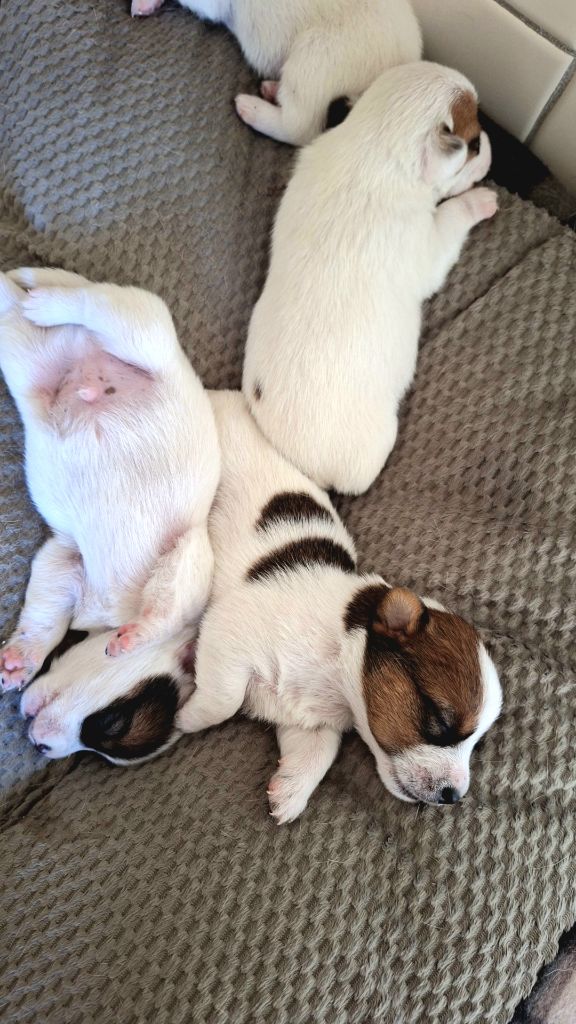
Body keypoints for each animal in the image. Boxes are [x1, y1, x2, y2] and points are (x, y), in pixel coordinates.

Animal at [0, 268, 219, 692]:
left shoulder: (180, 554)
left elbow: (163, 611)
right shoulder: (64, 561)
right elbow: (43, 618)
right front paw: (21, 660)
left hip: (135, 335)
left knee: (94, 301)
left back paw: (37, 297)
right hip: (124, 334)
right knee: (92, 299)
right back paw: (37, 294)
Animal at [176, 389, 502, 823]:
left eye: (477, 743)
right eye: (438, 721)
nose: (454, 796)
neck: (333, 662)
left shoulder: (311, 725)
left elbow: (318, 753)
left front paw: (290, 792)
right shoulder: (228, 632)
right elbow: (222, 702)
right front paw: (184, 718)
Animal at [239, 61, 496, 497]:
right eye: (475, 141)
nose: (492, 142)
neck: (373, 150)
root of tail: (291, 460)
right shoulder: (429, 245)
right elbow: (454, 214)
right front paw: (481, 201)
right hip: (374, 445)